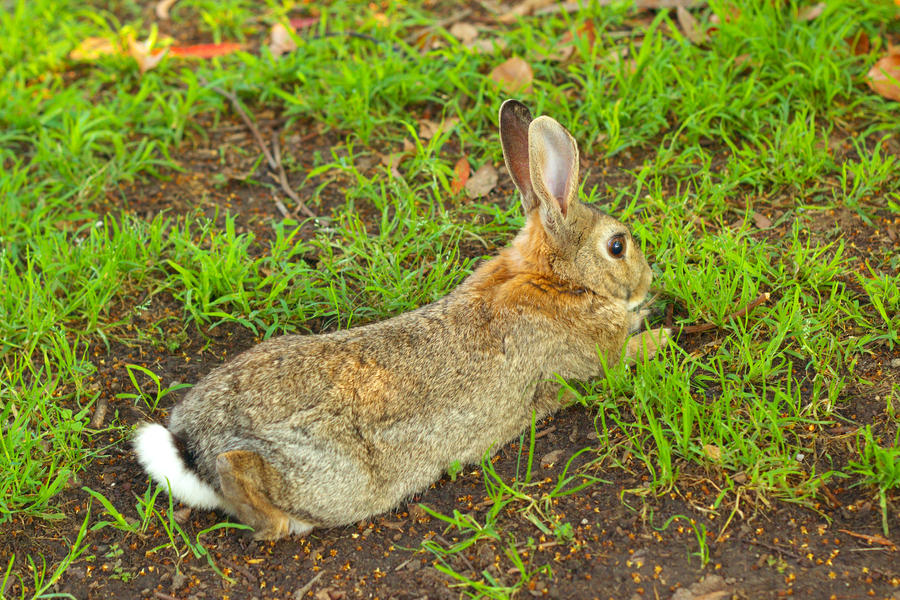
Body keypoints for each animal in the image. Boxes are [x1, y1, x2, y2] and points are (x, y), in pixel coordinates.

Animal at [133, 99, 670, 541]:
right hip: (336, 480)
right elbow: (625, 356)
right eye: (617, 246)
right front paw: (662, 333)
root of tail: (192, 446)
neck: (554, 279)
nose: (647, 279)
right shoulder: (593, 362)